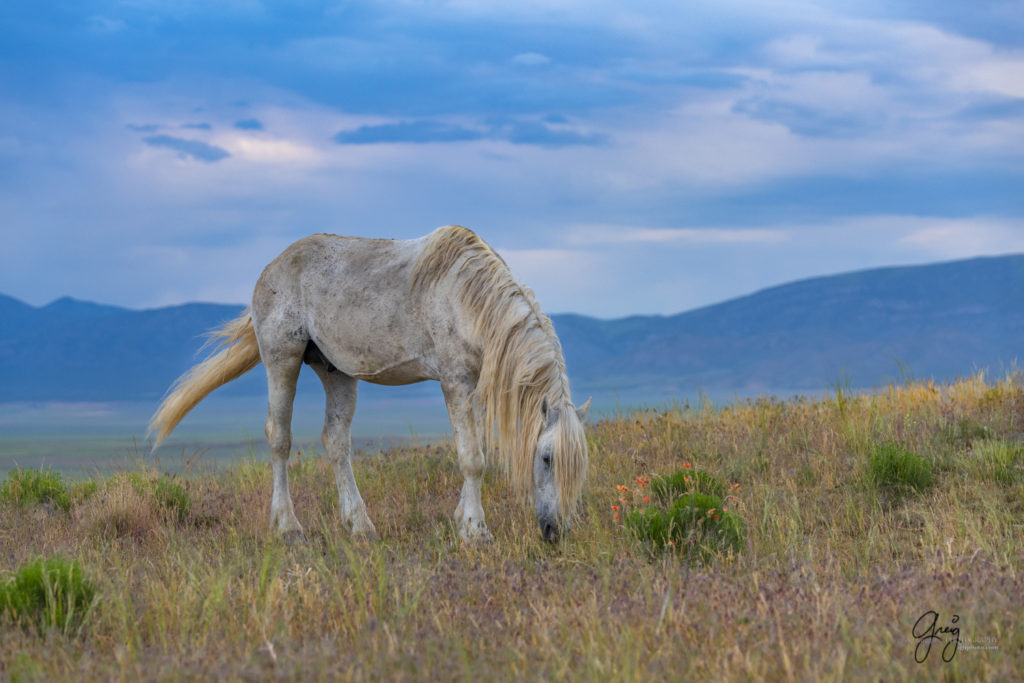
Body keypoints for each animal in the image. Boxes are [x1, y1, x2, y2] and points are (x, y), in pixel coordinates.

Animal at [148, 227, 589, 540]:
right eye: (546, 458)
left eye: (580, 465)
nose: (556, 532)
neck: (468, 297)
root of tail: (272, 267)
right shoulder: (455, 381)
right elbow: (472, 458)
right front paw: (477, 532)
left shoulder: (472, 387)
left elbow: (474, 449)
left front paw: (461, 520)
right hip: (282, 358)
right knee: (279, 438)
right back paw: (289, 527)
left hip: (336, 372)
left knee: (336, 442)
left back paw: (360, 526)